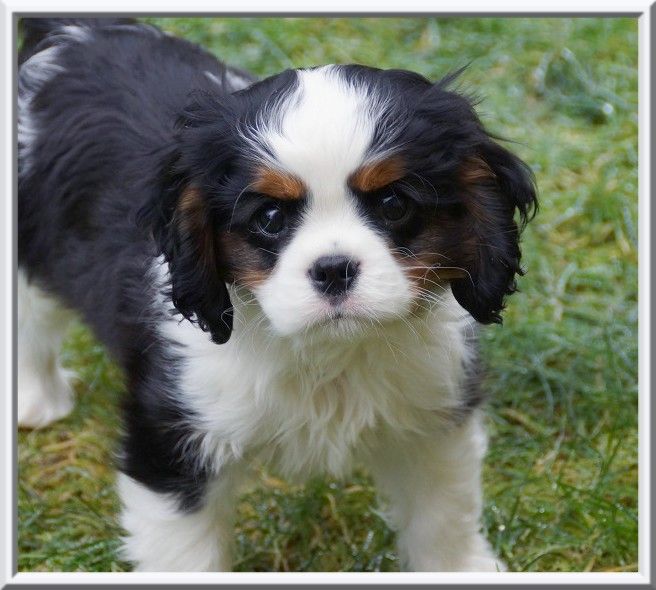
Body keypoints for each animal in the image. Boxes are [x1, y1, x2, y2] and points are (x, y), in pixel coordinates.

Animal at [17, 18, 537, 572]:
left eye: (394, 204)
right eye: (269, 217)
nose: (333, 269)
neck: (327, 354)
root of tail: (75, 29)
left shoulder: (434, 414)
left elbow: (443, 513)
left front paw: (461, 567)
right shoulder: (170, 436)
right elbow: (186, 553)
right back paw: (35, 401)